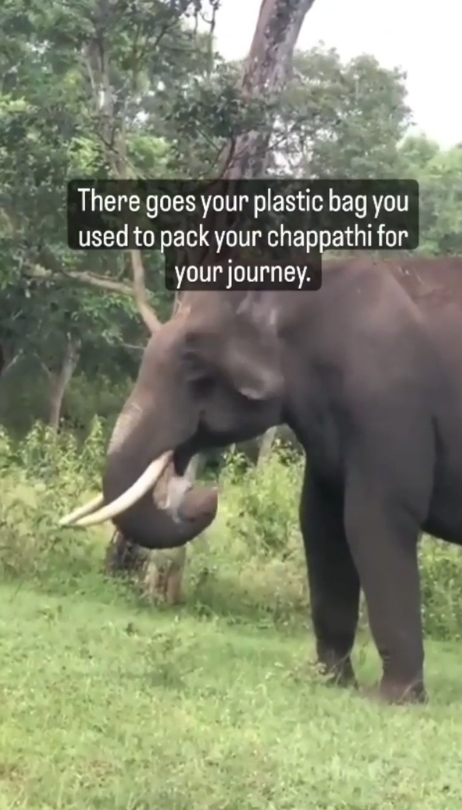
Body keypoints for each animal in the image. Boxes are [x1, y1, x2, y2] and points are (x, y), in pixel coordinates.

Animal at [61, 256, 462, 704]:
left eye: (193, 362)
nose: (205, 496)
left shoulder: (388, 401)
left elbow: (373, 519)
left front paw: (393, 699)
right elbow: (319, 523)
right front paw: (329, 681)